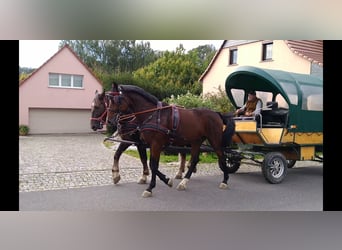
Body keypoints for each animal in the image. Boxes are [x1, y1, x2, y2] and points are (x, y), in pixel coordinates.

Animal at [107, 83, 235, 197]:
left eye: (116, 100)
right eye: (108, 100)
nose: (110, 120)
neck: (153, 115)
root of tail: (217, 114)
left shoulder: (155, 144)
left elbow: (153, 165)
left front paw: (150, 188)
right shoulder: (147, 144)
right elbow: (149, 163)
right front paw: (166, 180)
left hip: (214, 140)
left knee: (222, 156)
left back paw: (225, 181)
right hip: (196, 141)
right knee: (194, 160)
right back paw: (184, 182)